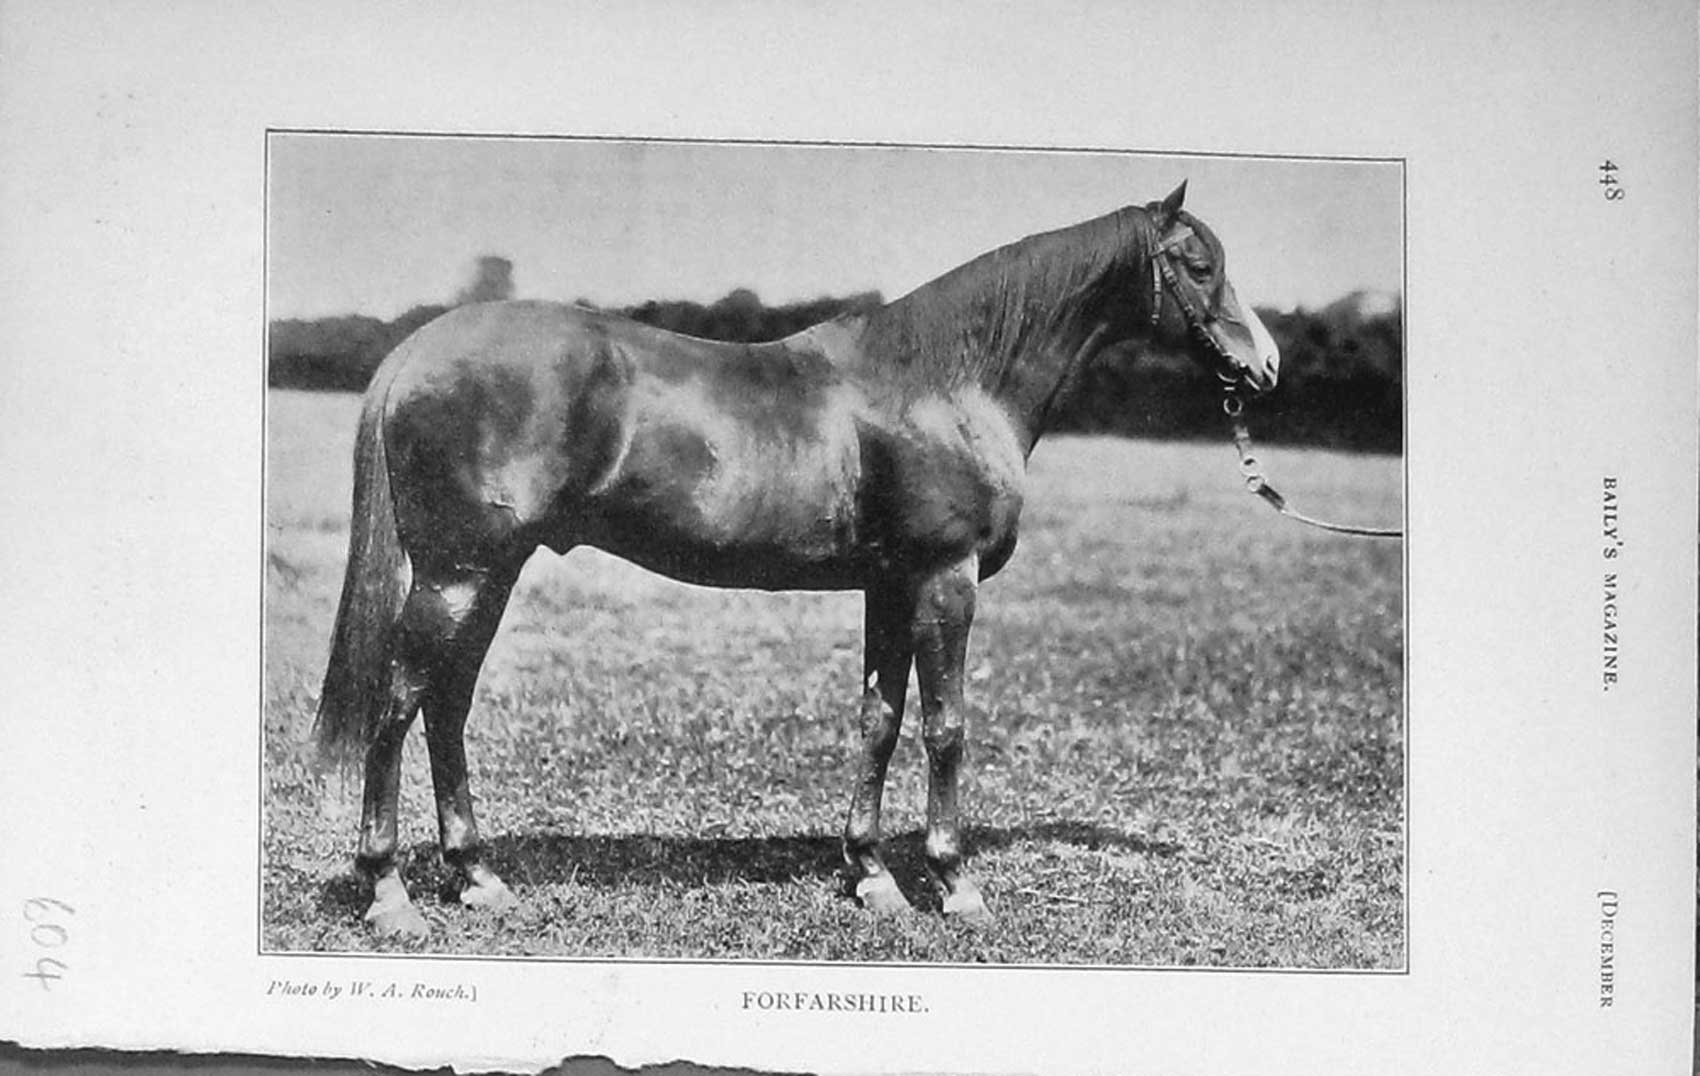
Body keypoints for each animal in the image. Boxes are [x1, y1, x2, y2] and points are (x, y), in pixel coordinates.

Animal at [310, 181, 1281, 937]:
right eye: (1198, 265)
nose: (1267, 365)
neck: (945, 383)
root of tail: (418, 350)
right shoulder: (944, 581)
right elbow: (947, 726)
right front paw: (956, 883)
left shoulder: (890, 586)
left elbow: (880, 720)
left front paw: (873, 877)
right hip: (457, 575)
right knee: (399, 703)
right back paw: (390, 894)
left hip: (491, 575)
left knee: (447, 705)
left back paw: (477, 878)